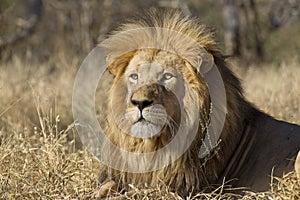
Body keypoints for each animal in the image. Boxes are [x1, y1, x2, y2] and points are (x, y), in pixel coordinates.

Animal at [96, 9, 300, 195]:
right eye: (134, 77)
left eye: (167, 76)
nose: (139, 102)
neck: (153, 144)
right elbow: (110, 185)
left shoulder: (185, 187)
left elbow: (139, 191)